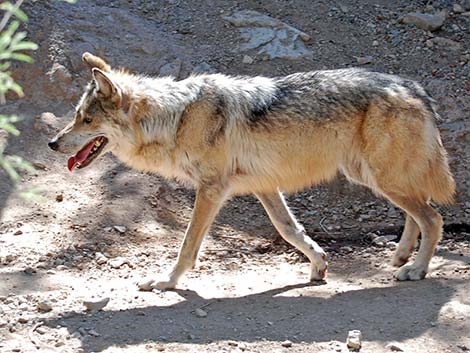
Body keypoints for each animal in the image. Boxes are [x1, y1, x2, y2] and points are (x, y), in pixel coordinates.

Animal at [48, 52, 456, 288]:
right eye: (76, 117)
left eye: (85, 120)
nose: (52, 143)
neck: (175, 119)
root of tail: (415, 87)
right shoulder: (265, 187)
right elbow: (291, 231)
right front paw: (319, 266)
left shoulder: (211, 190)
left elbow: (187, 246)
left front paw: (166, 282)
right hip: (373, 177)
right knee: (417, 213)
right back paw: (401, 256)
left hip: (382, 178)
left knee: (433, 217)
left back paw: (415, 269)